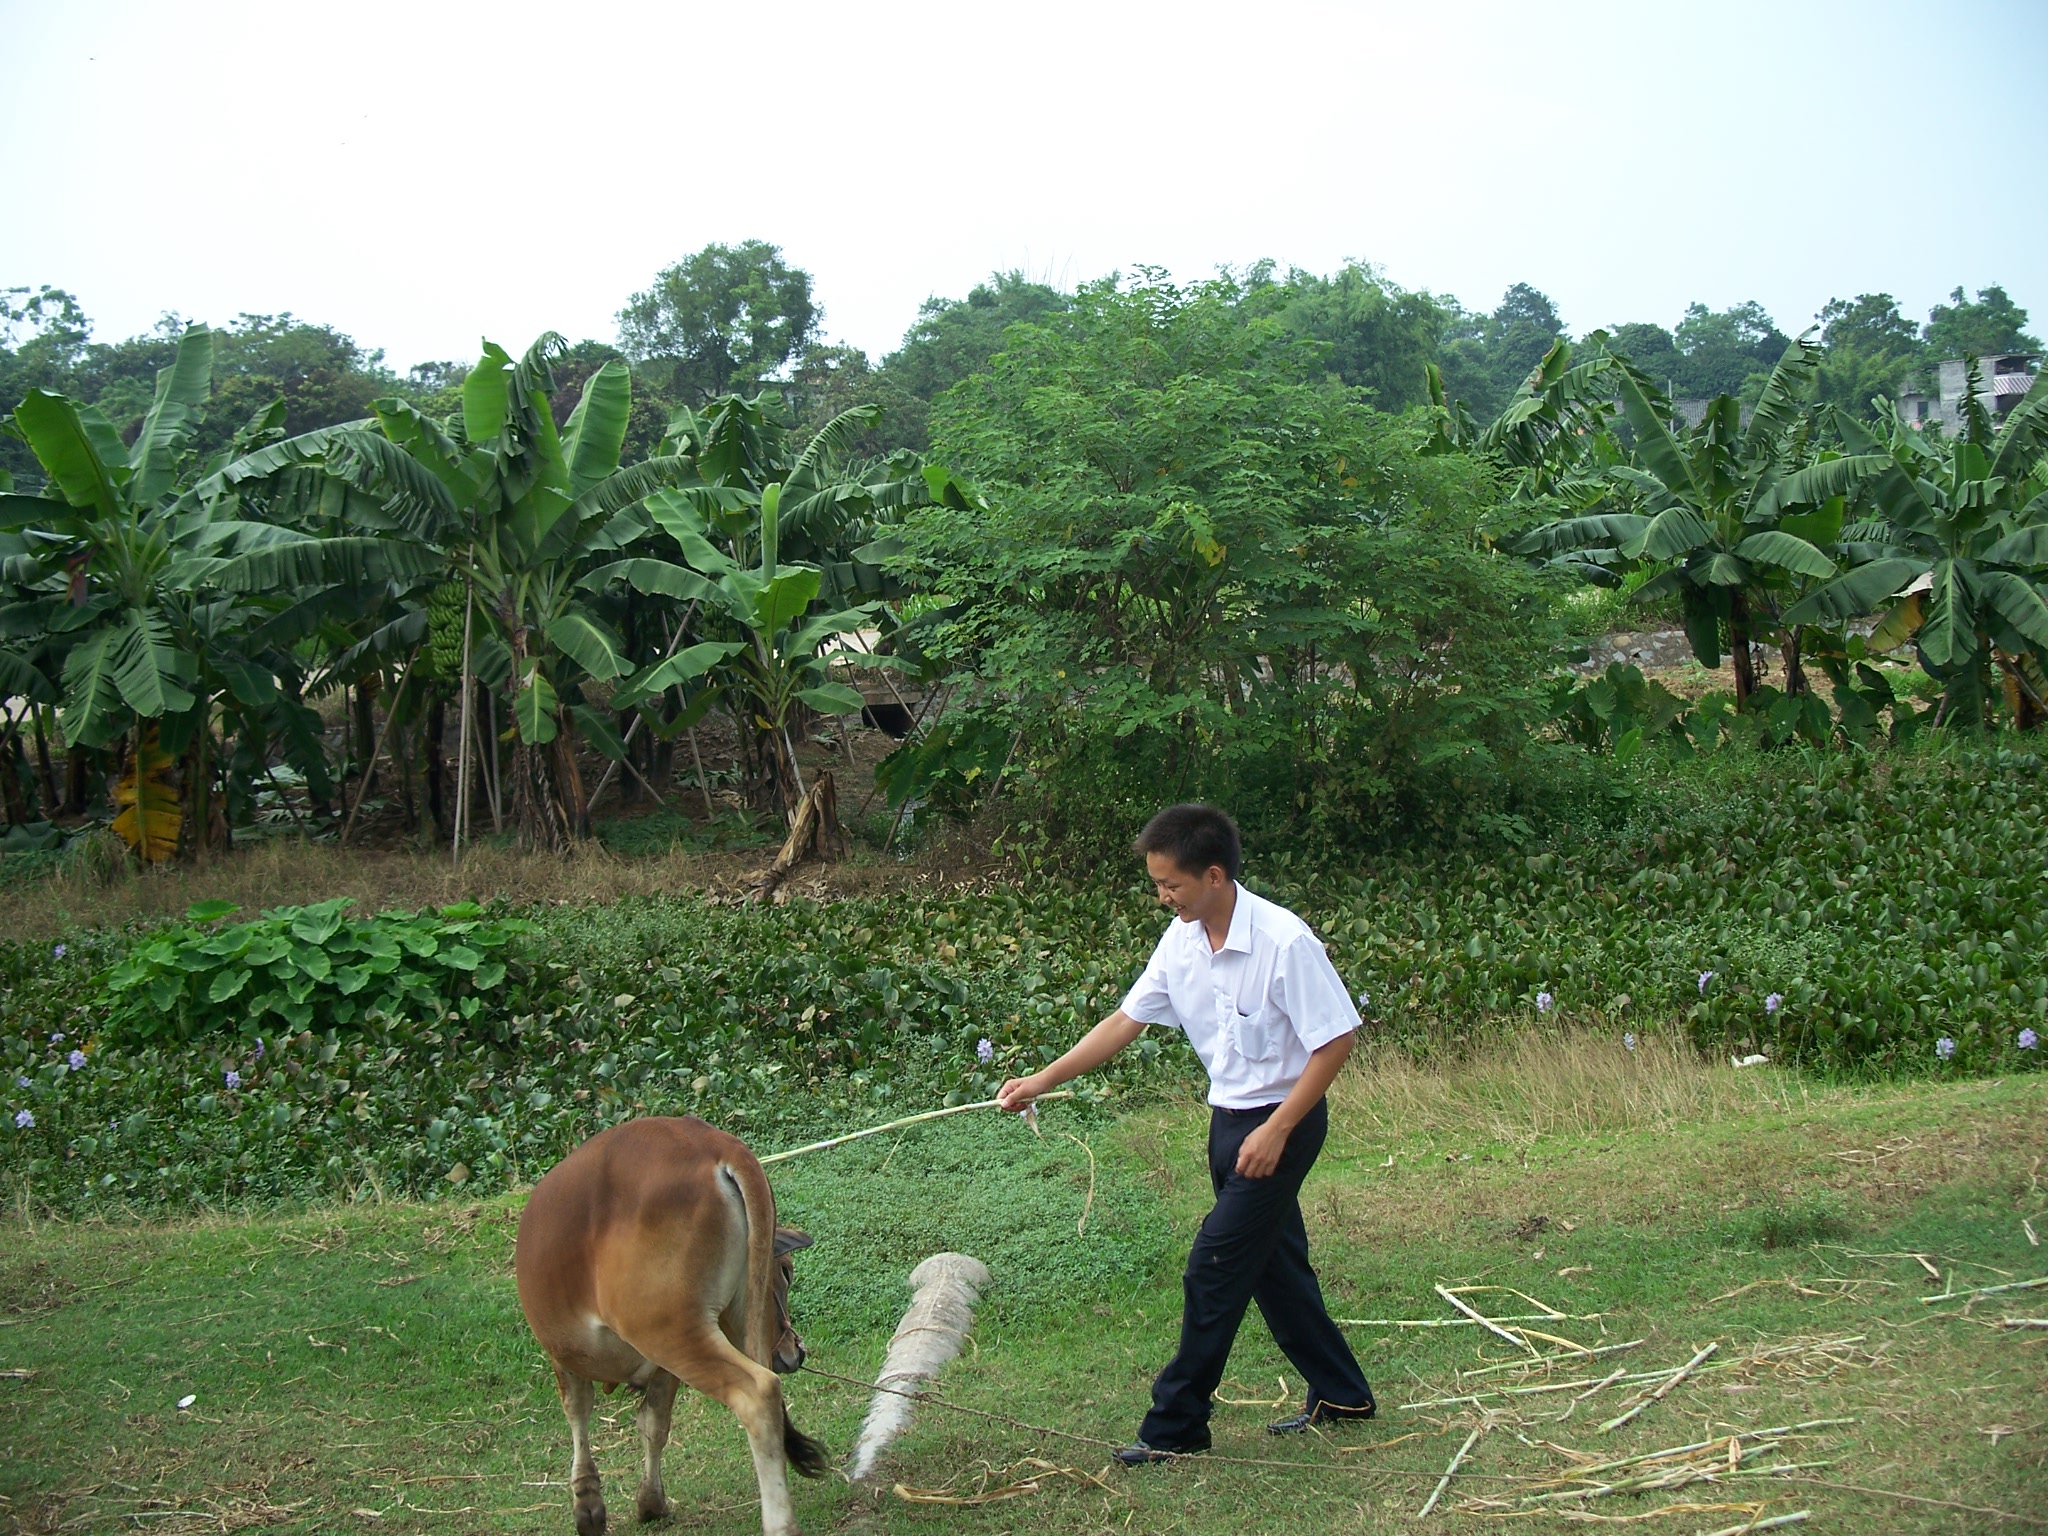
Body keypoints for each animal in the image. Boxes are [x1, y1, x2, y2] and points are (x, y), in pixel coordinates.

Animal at [516, 1122, 827, 1536]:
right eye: (787, 1271)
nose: (795, 1351)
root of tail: (714, 1142)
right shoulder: (663, 1369)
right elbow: (654, 1424)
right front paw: (651, 1501)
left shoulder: (563, 1354)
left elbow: (578, 1413)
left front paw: (588, 1507)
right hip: (721, 1332)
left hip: (671, 1331)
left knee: (759, 1394)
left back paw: (780, 1523)